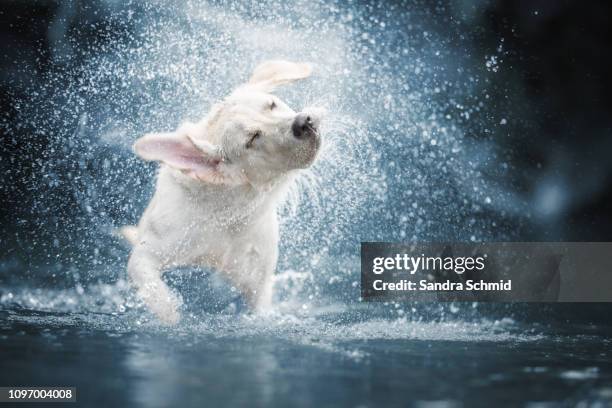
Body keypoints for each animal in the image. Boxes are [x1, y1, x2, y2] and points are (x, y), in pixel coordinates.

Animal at [121, 60, 328, 324]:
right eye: (252, 138)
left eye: (272, 104)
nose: (304, 122)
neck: (230, 209)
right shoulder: (153, 247)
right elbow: (151, 285)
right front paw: (171, 313)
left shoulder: (258, 277)